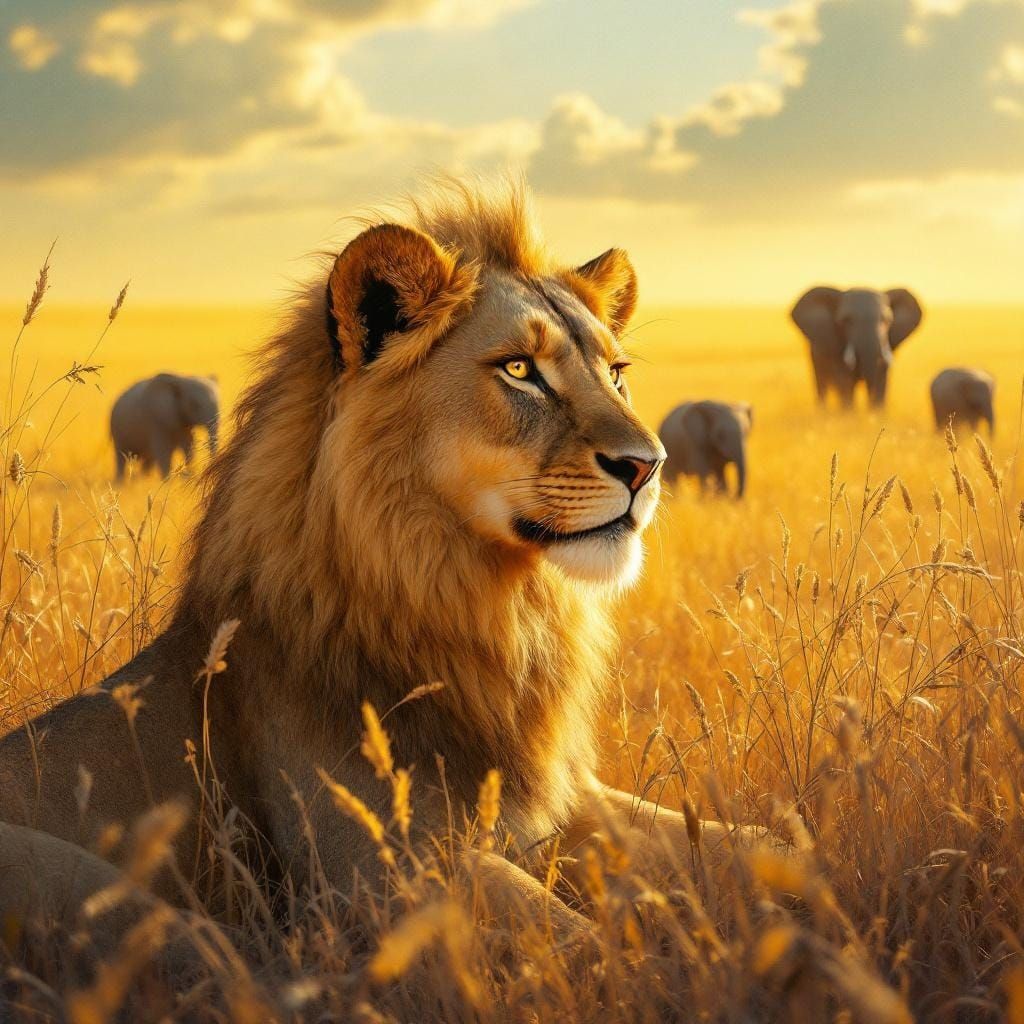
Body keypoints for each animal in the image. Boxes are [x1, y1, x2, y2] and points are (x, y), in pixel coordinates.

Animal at [0, 178, 750, 948]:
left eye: (617, 374)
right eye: (519, 370)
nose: (649, 465)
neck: (489, 603)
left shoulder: (571, 803)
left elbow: (742, 843)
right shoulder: (384, 868)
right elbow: (577, 941)